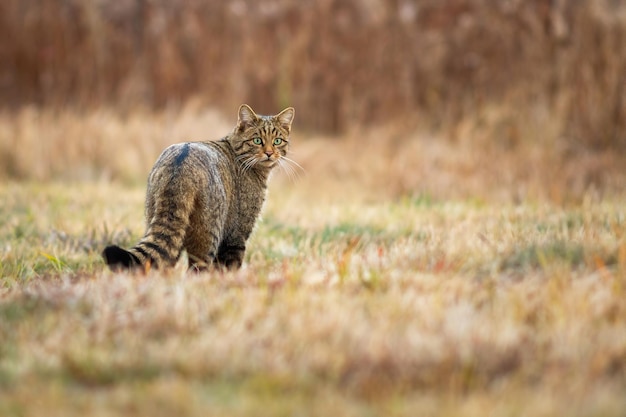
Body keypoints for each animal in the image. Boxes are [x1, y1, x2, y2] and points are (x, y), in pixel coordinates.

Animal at [102, 105, 294, 270]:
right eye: (257, 140)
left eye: (277, 141)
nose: (269, 153)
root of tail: (179, 165)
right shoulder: (236, 235)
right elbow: (229, 268)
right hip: (209, 236)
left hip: (161, 226)